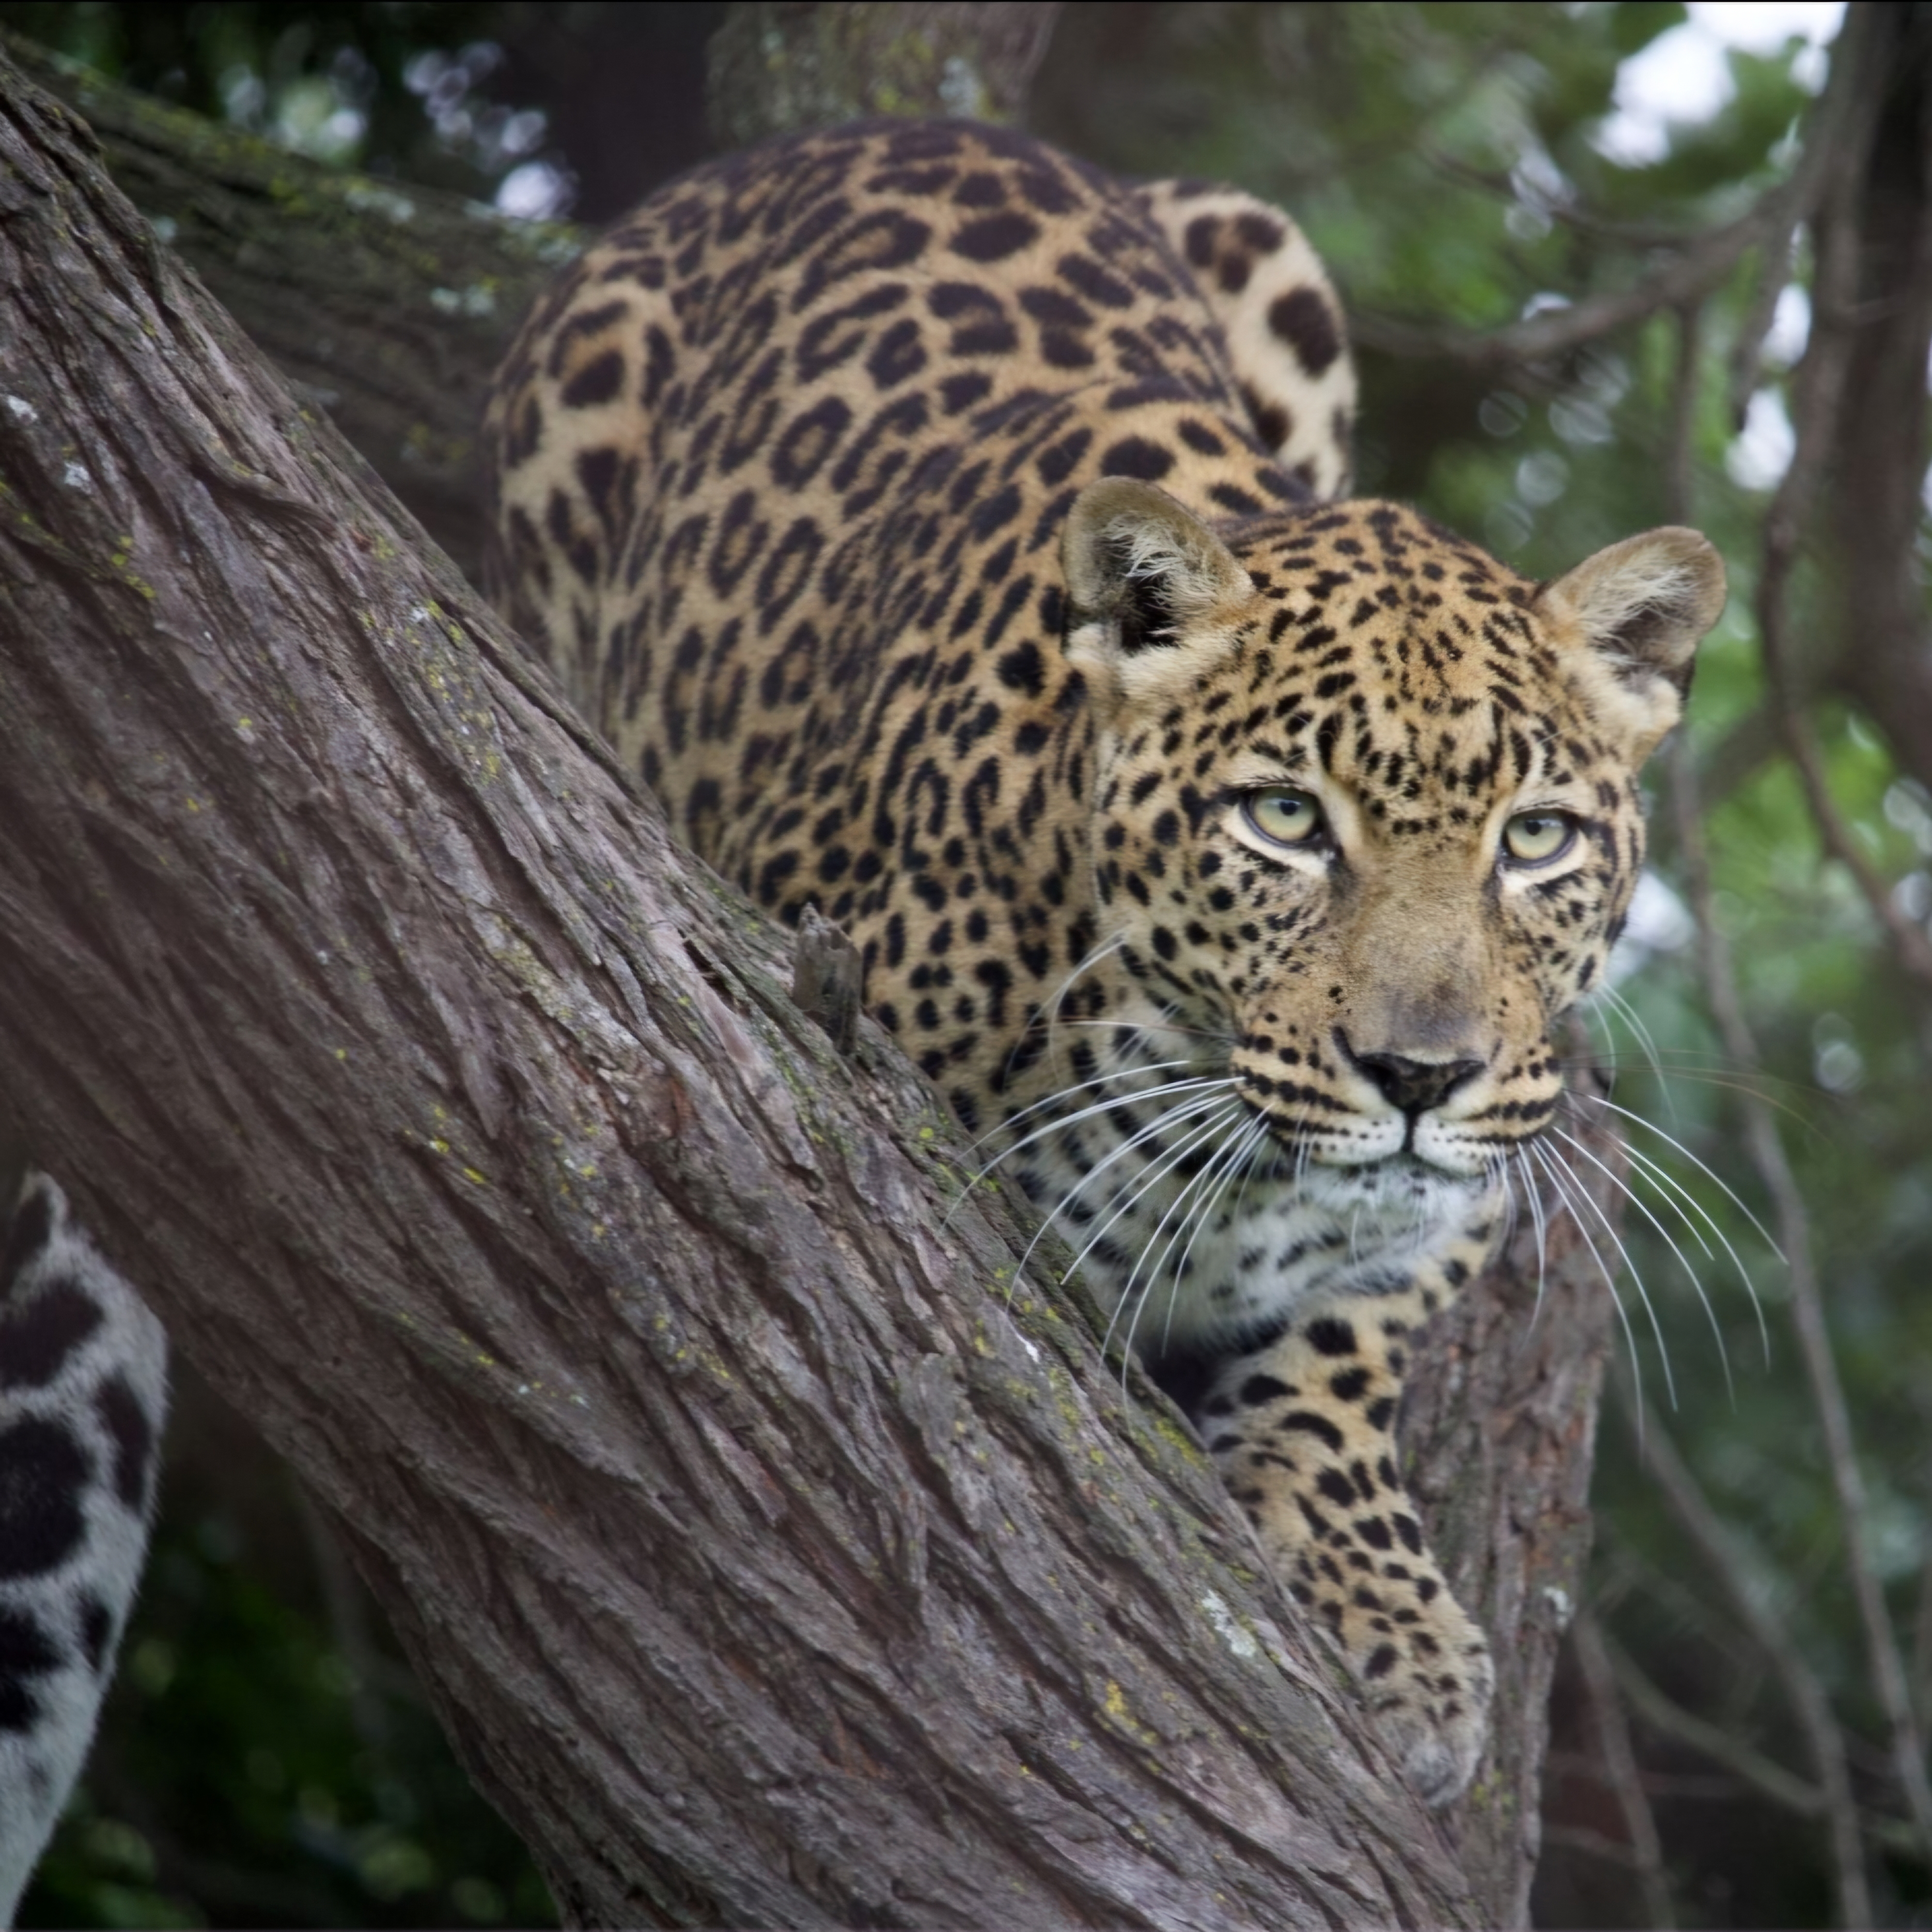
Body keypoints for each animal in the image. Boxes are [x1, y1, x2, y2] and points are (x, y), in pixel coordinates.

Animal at [483, 117, 1725, 1807]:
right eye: (1285, 818)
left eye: (1533, 840)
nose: (1416, 1075)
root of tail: (863, 132)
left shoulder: (1481, 1165)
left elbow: (1347, 1346)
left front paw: (1396, 1625)